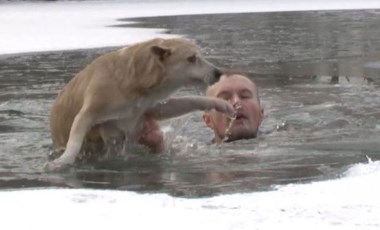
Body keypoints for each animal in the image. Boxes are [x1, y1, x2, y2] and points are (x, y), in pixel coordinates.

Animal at [46, 37, 233, 171]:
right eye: (192, 58)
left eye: (200, 55)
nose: (218, 72)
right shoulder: (94, 105)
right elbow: (78, 130)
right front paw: (63, 161)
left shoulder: (146, 105)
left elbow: (183, 102)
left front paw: (220, 104)